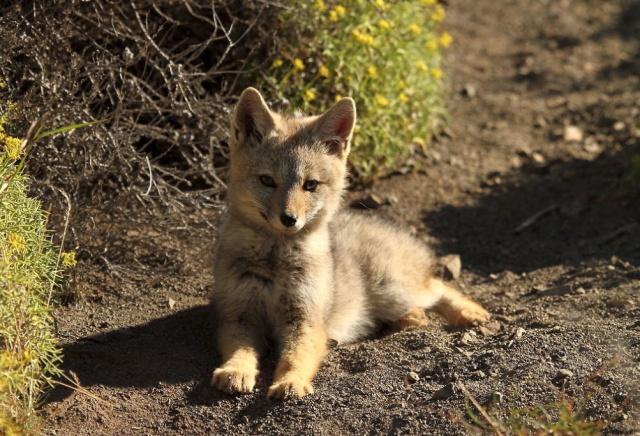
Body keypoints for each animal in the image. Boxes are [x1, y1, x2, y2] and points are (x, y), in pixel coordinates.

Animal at [210, 87, 490, 398]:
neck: (276, 263)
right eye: (267, 181)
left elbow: (295, 357)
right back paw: (407, 320)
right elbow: (240, 350)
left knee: (438, 288)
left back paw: (470, 313)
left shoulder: (306, 321)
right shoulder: (238, 315)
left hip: (393, 291)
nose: (289, 219)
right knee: (422, 306)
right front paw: (235, 371)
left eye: (310, 185)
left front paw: (291, 382)